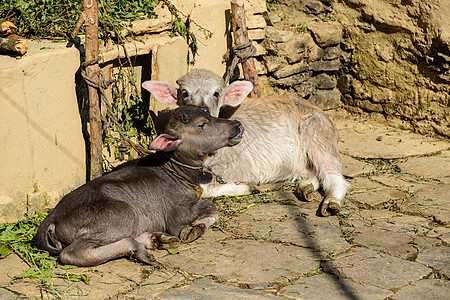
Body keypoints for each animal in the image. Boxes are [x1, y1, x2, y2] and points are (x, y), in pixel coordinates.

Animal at [37, 105, 244, 264]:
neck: (177, 172)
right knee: (71, 253)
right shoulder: (176, 216)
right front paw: (195, 228)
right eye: (201, 124)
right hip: (121, 215)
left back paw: (154, 239)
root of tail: (52, 217)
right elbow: (210, 207)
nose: (237, 125)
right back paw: (138, 248)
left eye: (209, 113)